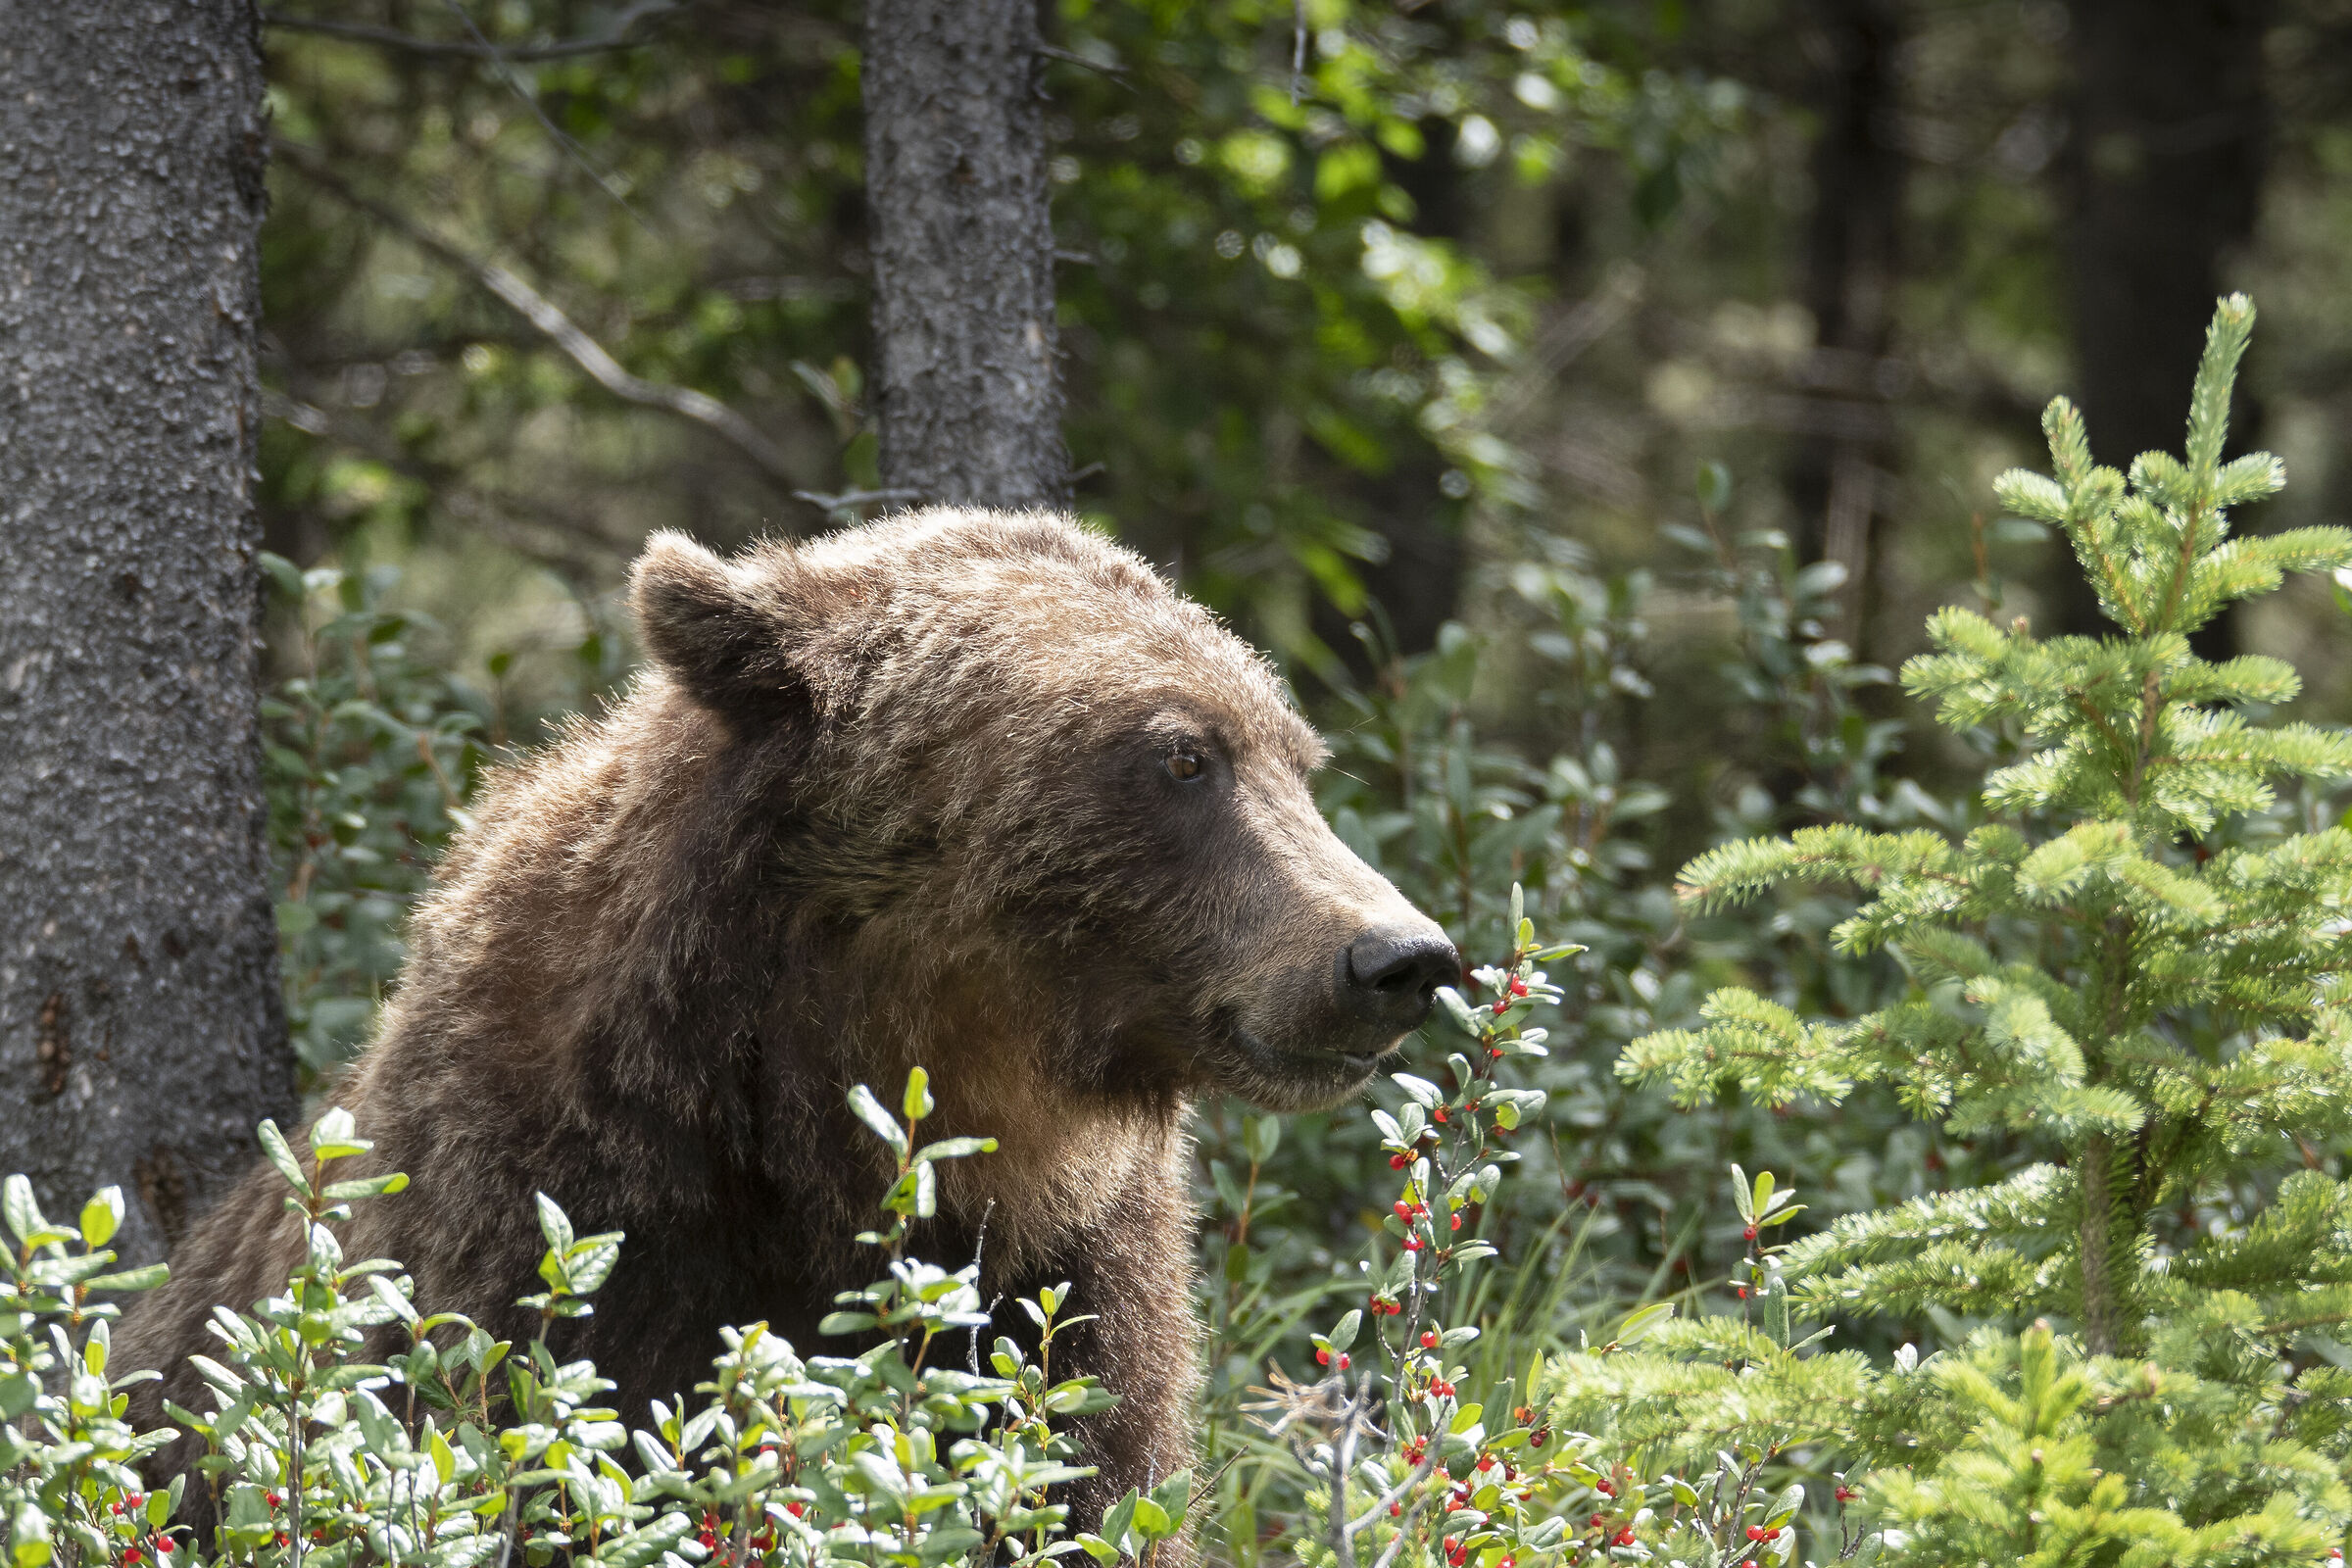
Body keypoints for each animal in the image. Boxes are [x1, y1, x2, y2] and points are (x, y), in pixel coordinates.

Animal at [117, 507, 1457, 1535]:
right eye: (1181, 755)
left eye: (1296, 755)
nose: (1400, 957)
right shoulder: (554, 1223)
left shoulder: (1071, 1278)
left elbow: (1088, 1476)